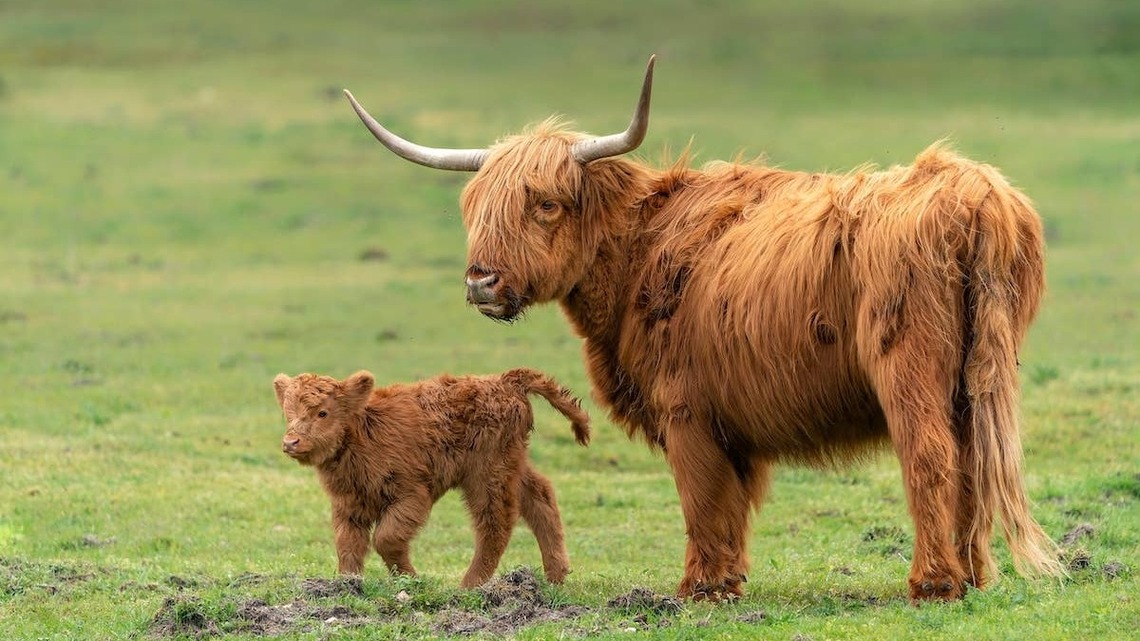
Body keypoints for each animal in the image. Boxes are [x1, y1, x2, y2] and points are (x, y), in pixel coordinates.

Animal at [274, 368, 590, 588]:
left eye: (323, 412)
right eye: (288, 413)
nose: (291, 442)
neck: (363, 431)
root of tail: (504, 381)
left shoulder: (411, 494)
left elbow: (386, 538)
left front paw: (412, 579)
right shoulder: (349, 505)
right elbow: (348, 545)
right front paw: (348, 585)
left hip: (488, 474)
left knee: (495, 522)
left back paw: (469, 586)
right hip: (512, 465)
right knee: (540, 495)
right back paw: (556, 576)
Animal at [342, 55, 1063, 601]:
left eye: (545, 204)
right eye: (474, 206)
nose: (481, 283)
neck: (639, 247)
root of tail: (972, 191)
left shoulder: (686, 408)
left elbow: (700, 496)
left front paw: (697, 587)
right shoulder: (731, 420)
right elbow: (733, 501)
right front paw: (730, 580)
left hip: (909, 371)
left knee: (931, 457)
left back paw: (933, 583)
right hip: (974, 380)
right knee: (972, 462)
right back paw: (973, 577)